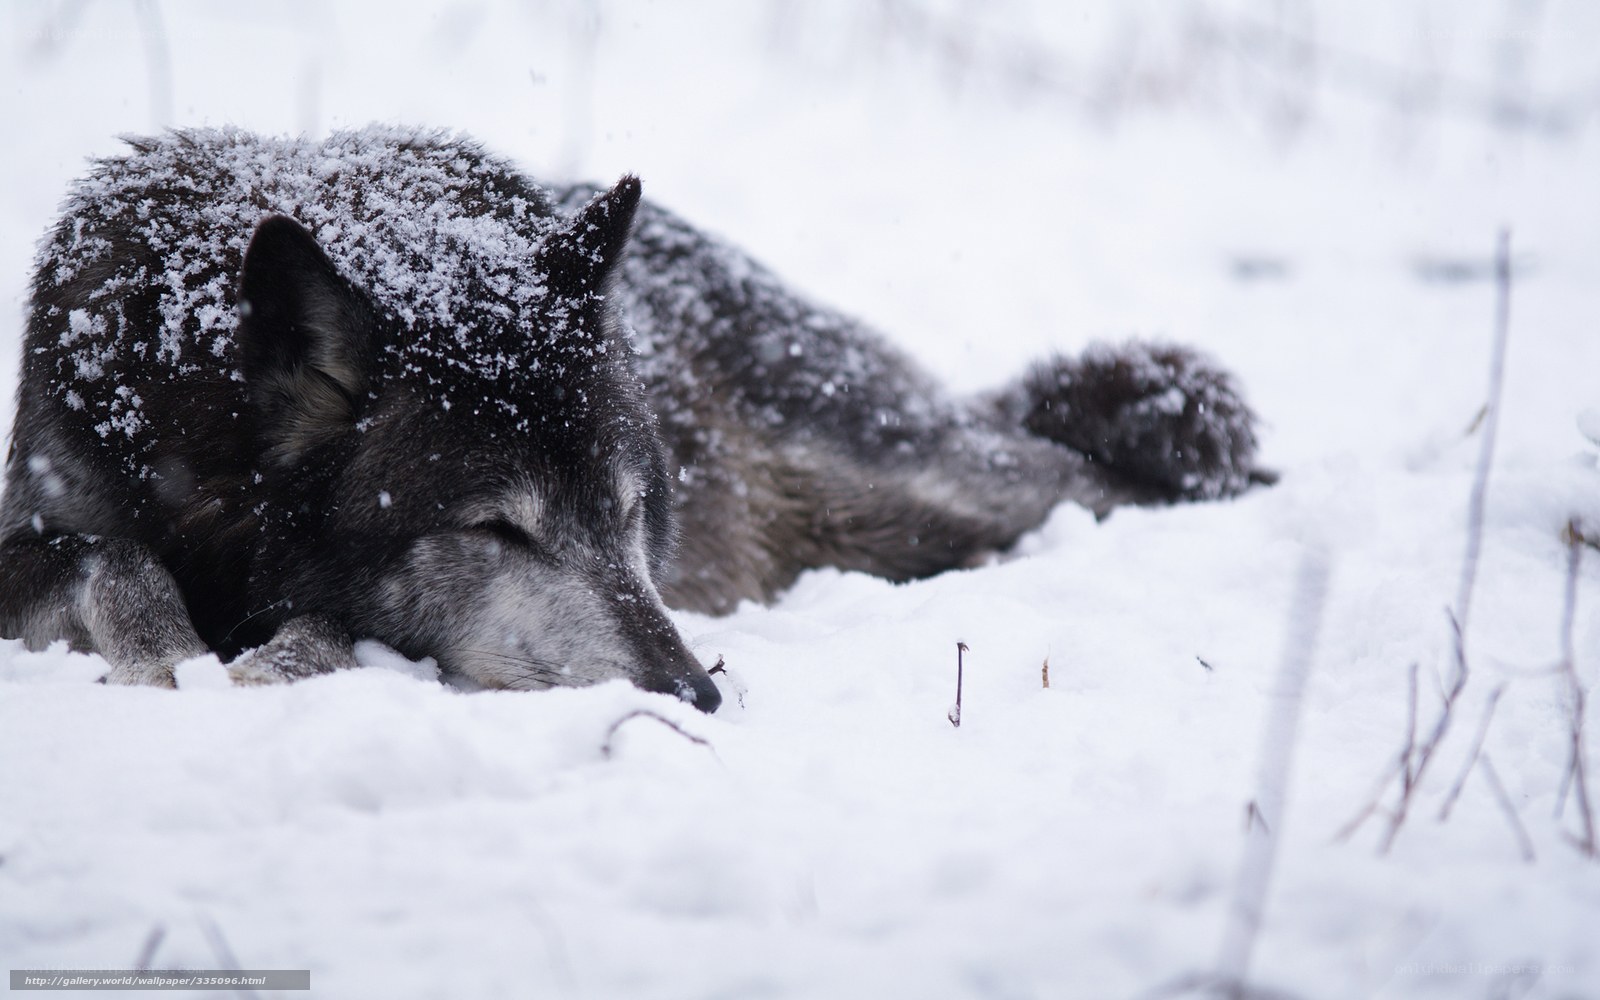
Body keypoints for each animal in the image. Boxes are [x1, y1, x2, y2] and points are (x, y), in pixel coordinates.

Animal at [0, 128, 1262, 711]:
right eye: (496, 529)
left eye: (626, 513)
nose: (697, 693)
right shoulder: (46, 512)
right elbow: (107, 553)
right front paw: (171, 651)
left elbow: (316, 626)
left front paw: (261, 662)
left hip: (922, 482)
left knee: (1095, 478)